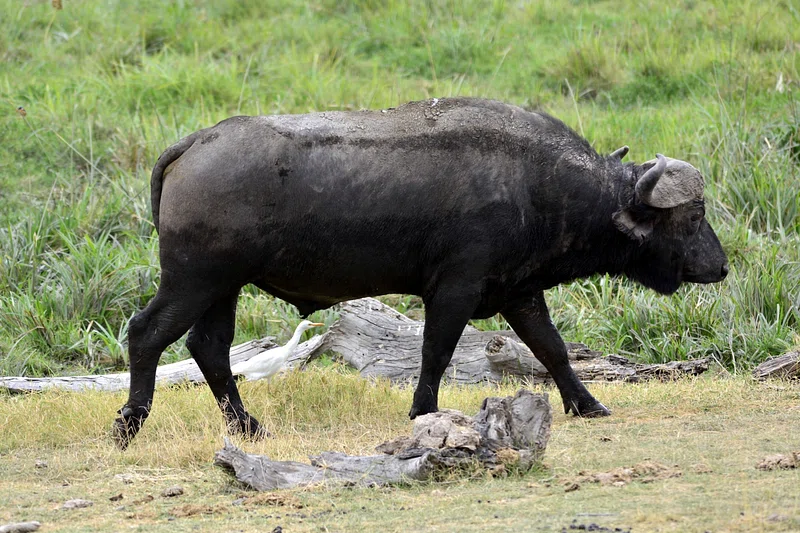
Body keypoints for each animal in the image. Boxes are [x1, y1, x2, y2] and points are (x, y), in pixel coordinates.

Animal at [113, 98, 728, 448]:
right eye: (692, 217)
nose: (720, 266)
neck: (536, 183)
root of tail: (196, 143)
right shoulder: (455, 288)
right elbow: (436, 351)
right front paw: (423, 412)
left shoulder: (520, 291)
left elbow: (551, 350)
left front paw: (587, 404)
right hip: (193, 281)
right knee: (146, 333)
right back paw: (129, 424)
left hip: (222, 288)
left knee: (209, 349)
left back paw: (248, 428)